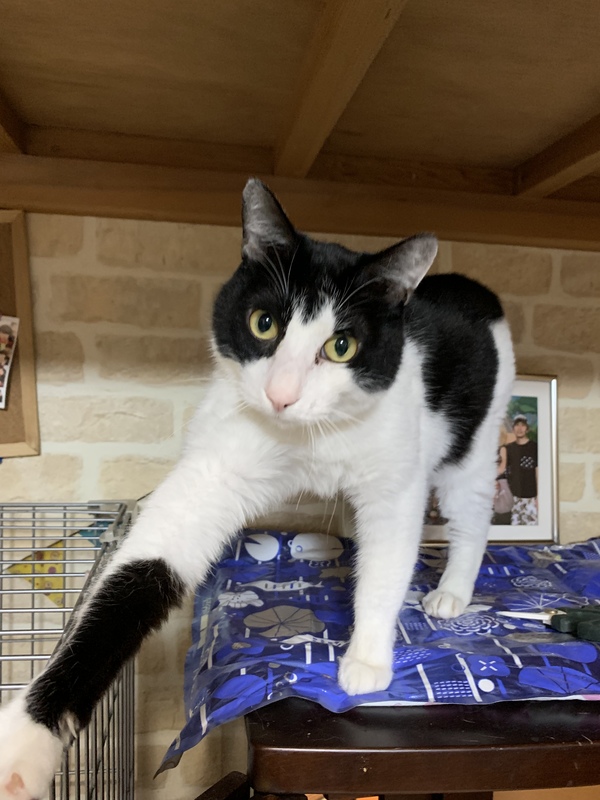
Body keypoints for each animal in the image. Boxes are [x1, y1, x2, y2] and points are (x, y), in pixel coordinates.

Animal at [0, 178, 514, 799]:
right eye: (263, 324)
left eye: (341, 346)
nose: (282, 395)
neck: (307, 437)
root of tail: (468, 285)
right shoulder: (217, 467)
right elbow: (142, 571)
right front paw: (28, 739)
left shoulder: (394, 481)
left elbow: (388, 562)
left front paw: (367, 658)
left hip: (474, 435)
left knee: (472, 509)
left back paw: (452, 591)